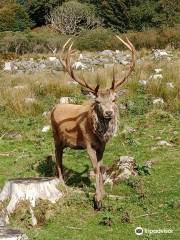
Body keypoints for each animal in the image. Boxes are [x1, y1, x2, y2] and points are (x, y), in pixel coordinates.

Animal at [50, 36, 136, 210]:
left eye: (114, 99)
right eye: (97, 101)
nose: (109, 112)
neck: (98, 135)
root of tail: (54, 107)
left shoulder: (102, 146)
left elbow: (101, 168)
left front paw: (104, 194)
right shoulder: (88, 144)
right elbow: (95, 168)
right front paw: (97, 199)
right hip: (55, 136)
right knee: (57, 156)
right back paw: (62, 183)